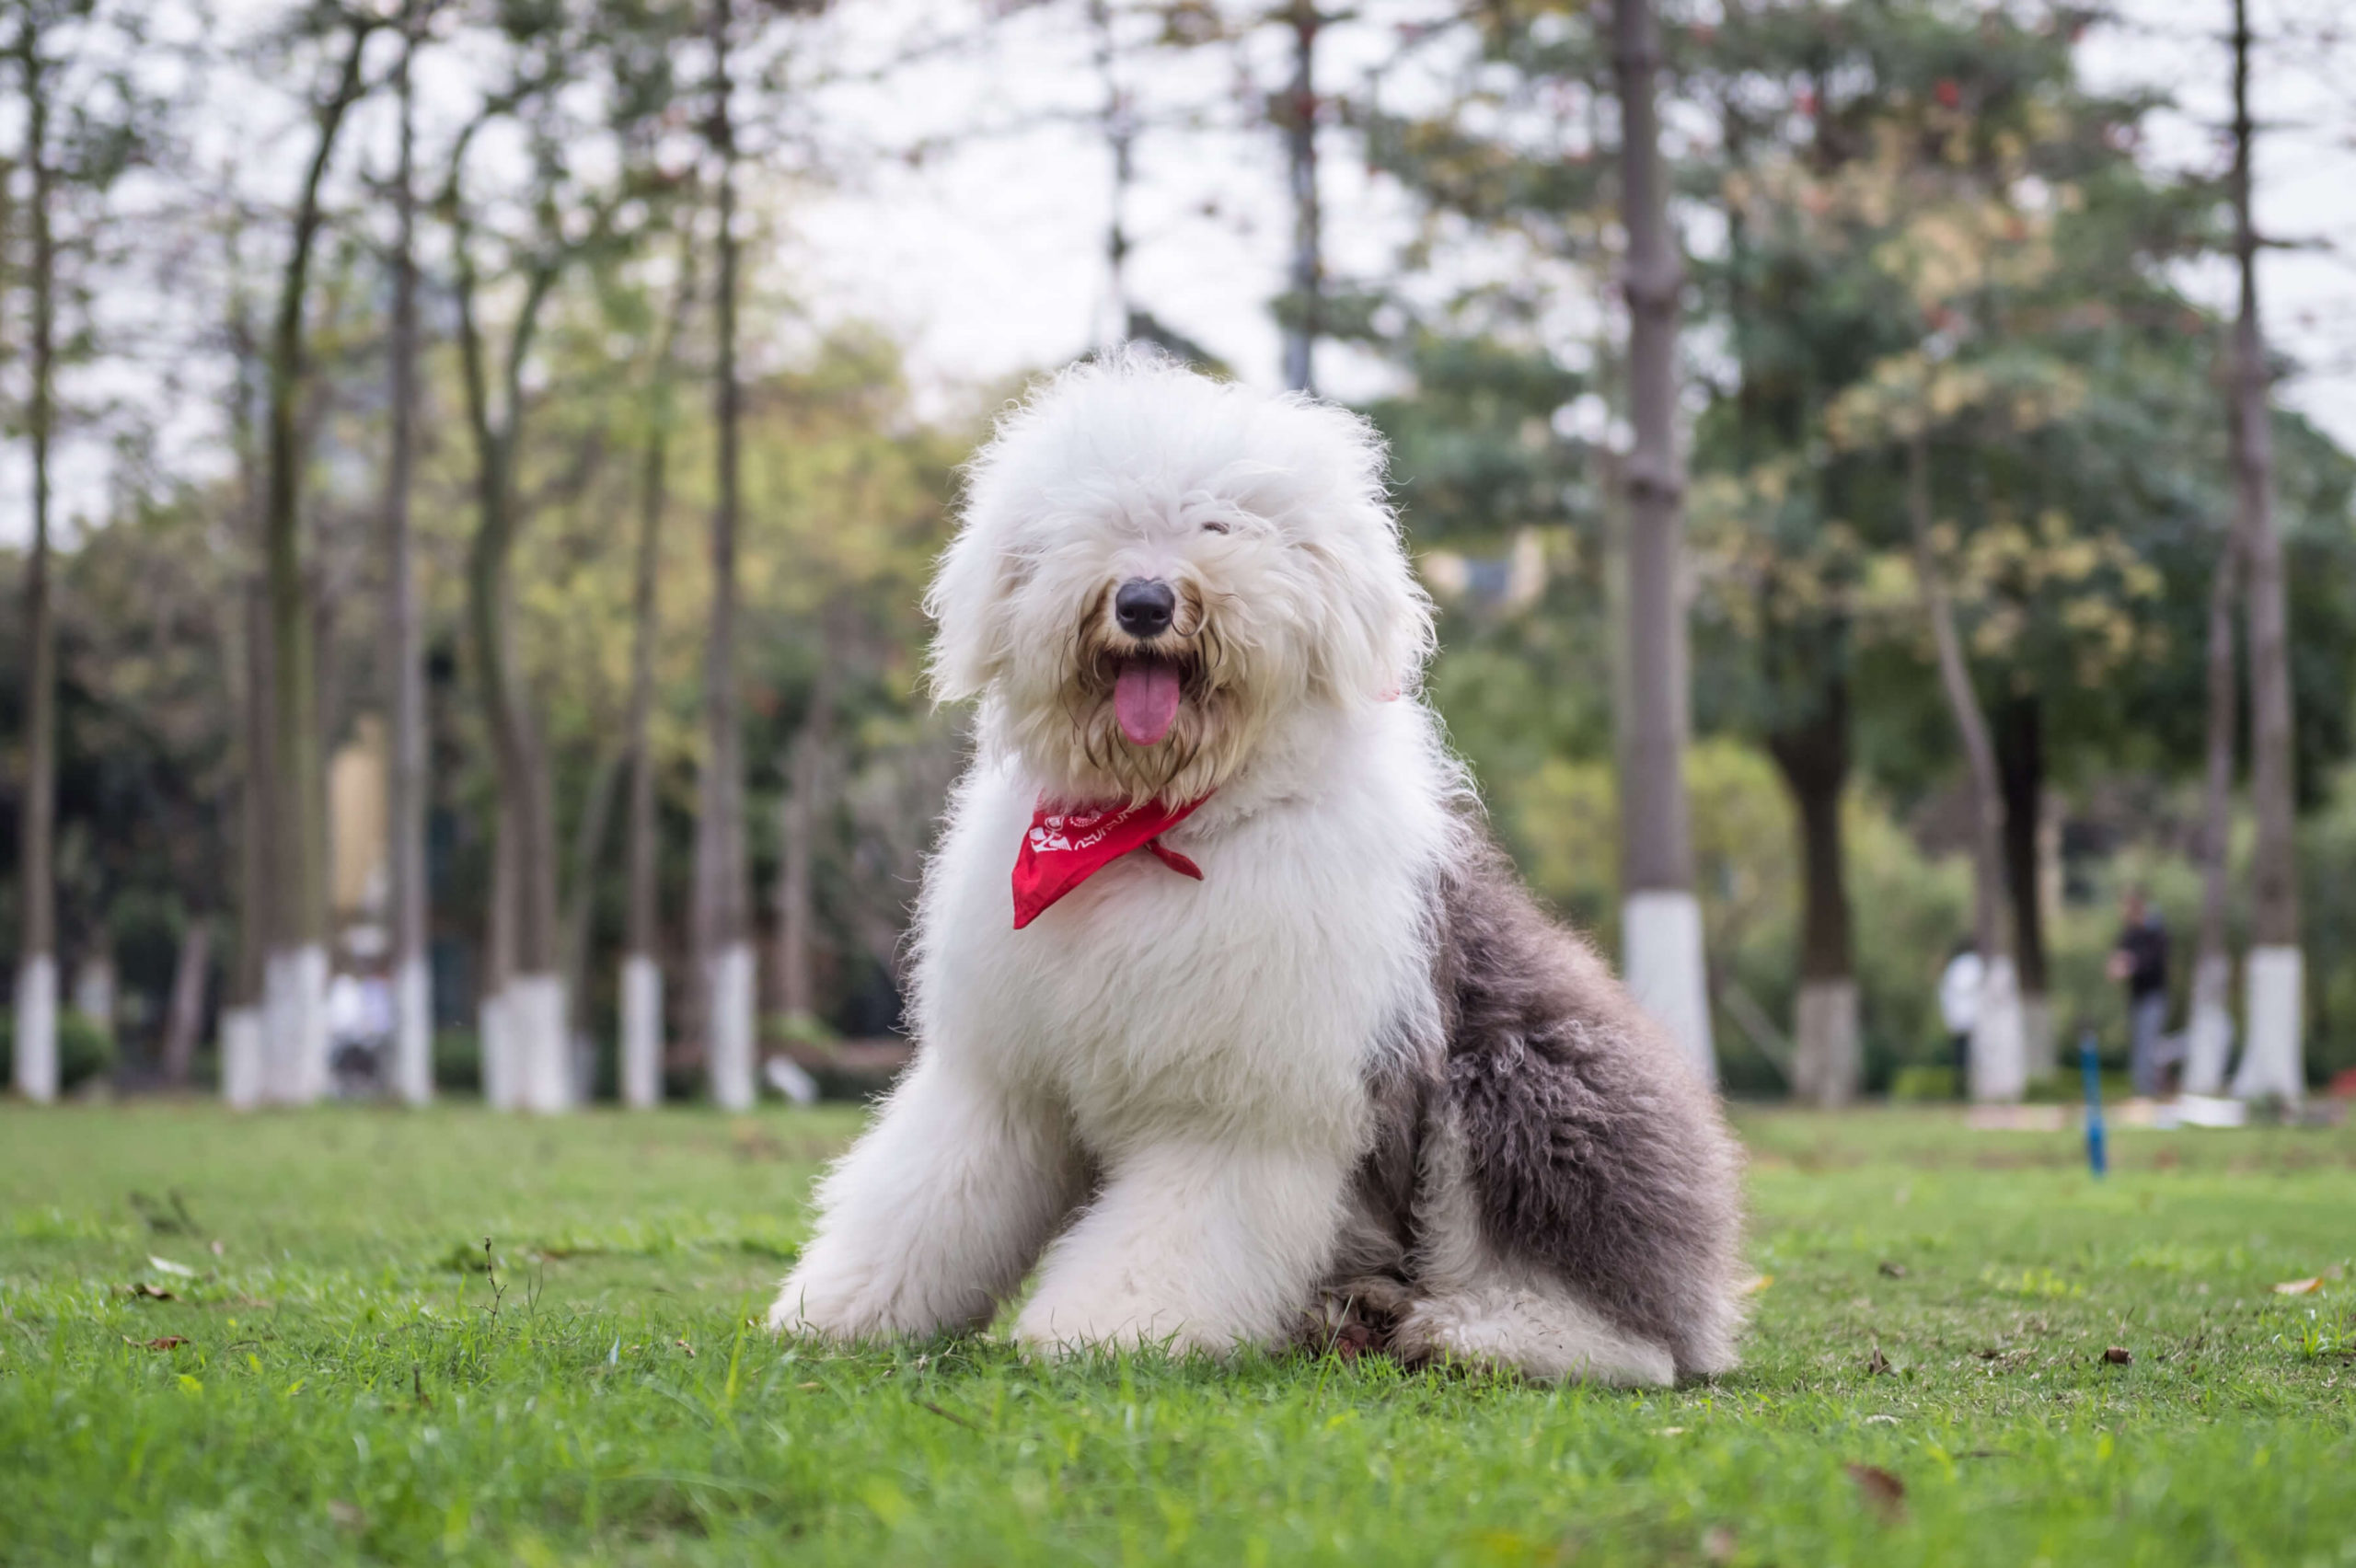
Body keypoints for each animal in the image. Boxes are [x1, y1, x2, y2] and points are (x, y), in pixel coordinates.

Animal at [772, 351, 1752, 1384]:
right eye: (1102, 521)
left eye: (1221, 525)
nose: (1145, 602)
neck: (1154, 830)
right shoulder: (1001, 1077)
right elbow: (931, 1193)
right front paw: (840, 1308)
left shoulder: (1238, 1102)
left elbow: (1178, 1224)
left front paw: (1111, 1325)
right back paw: (1350, 1314)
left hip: (1527, 1080)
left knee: (1620, 1325)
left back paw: (1477, 1333)